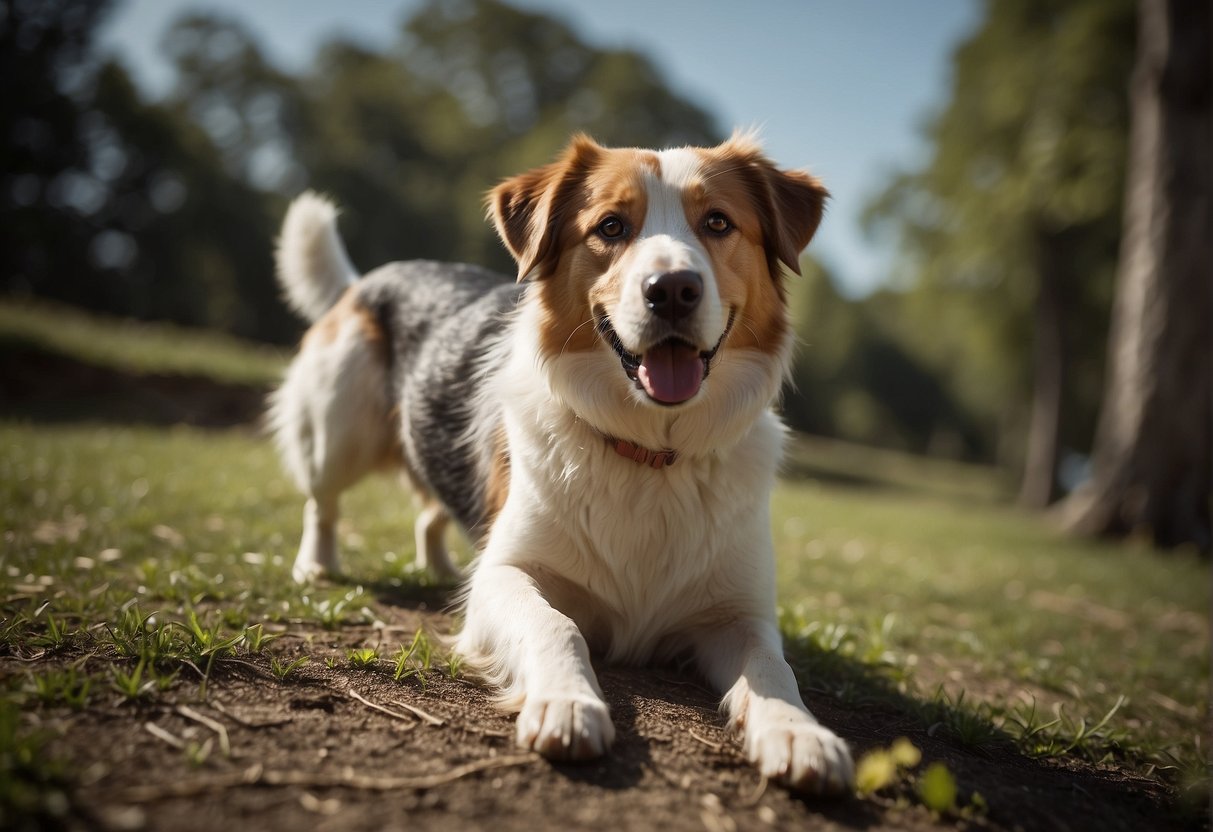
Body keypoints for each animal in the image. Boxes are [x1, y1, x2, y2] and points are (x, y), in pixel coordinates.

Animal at [268, 135, 853, 795]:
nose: (672, 289)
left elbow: (776, 671)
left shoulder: (740, 614)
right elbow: (555, 625)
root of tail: (369, 278)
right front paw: (568, 704)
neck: (651, 452)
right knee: (323, 503)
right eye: (611, 226)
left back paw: (440, 566)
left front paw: (801, 734)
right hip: (336, 432)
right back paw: (317, 565)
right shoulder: (507, 575)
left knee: (431, 514)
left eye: (719, 223)